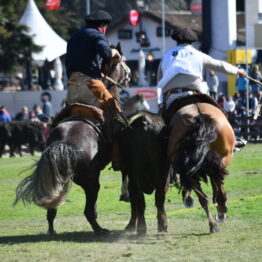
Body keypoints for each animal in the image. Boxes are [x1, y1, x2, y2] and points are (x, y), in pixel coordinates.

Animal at [13, 44, 130, 234]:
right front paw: (125, 194)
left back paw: (52, 231)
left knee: (52, 209)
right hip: (91, 182)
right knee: (87, 210)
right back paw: (100, 230)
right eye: (123, 61)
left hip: (58, 181)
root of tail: (63, 144)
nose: (129, 74)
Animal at [117, 94, 169, 235]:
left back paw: (142, 227)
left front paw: (131, 226)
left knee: (141, 200)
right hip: (162, 173)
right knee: (158, 198)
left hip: (136, 175)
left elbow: (135, 203)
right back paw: (161, 225)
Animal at [166, 94, 235, 233]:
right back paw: (220, 210)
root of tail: (199, 116)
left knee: (204, 195)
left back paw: (214, 220)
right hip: (223, 158)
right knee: (216, 180)